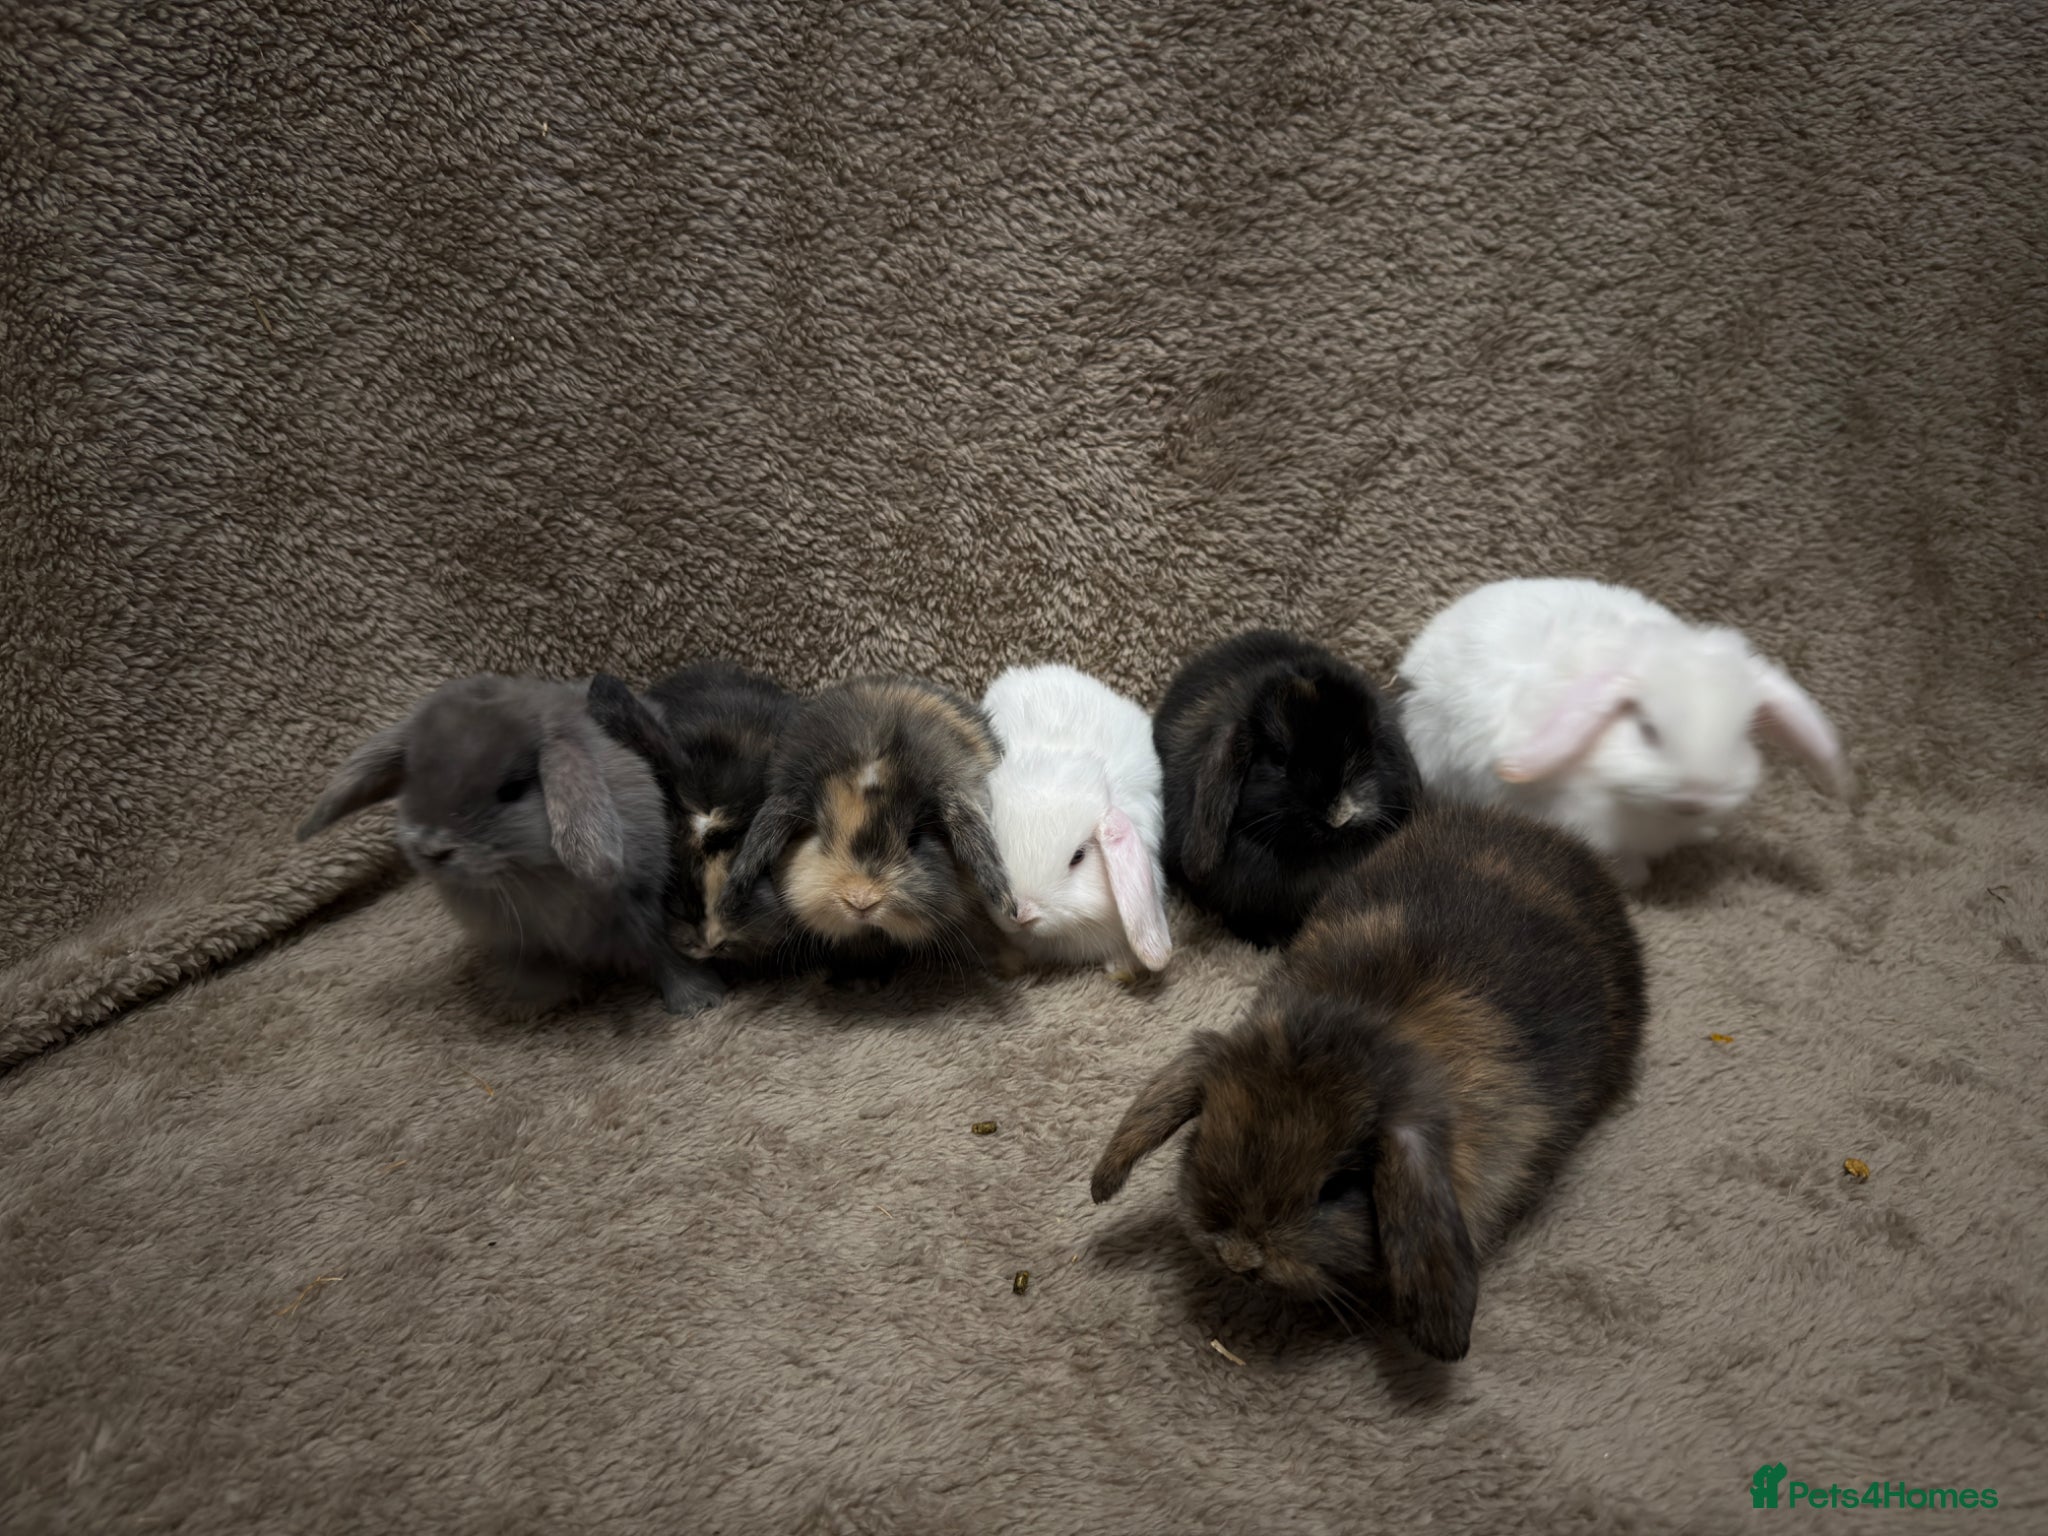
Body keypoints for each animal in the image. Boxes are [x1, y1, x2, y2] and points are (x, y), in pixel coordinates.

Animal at [296, 673, 725, 1015]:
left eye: (512, 790)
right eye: (413, 779)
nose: (432, 849)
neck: (526, 873)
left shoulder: (639, 908)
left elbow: (660, 954)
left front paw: (696, 1000)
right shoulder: (518, 940)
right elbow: (535, 965)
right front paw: (541, 1000)